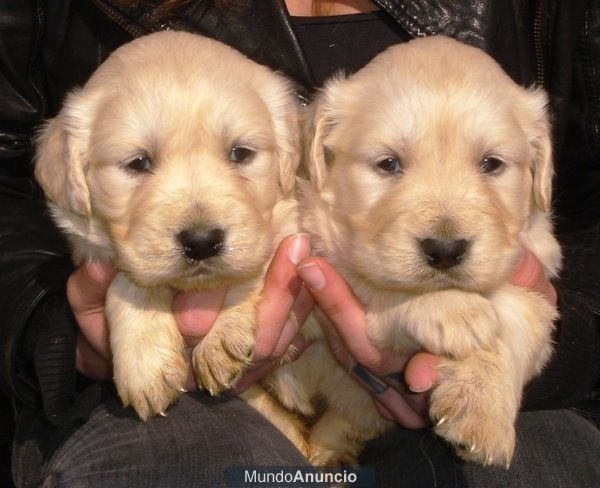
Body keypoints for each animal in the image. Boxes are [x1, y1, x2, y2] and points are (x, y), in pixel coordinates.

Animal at [34, 32, 302, 424]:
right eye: (138, 163)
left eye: (240, 153)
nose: (202, 242)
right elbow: (126, 282)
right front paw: (144, 364)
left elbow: (254, 264)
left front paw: (221, 337)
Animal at [264, 36, 560, 468]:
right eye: (388, 163)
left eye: (491, 163)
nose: (446, 250)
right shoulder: (315, 245)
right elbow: (373, 280)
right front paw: (452, 309)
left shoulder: (534, 262)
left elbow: (520, 317)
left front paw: (480, 409)